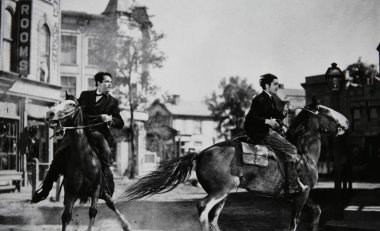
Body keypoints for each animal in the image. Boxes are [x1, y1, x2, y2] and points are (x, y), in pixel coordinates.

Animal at [123, 98, 348, 230]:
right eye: (327, 111)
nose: (346, 122)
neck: (303, 154)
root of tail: (201, 153)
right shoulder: (301, 194)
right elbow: (294, 223)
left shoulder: (302, 194)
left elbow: (317, 210)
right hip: (222, 190)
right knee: (203, 208)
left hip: (223, 194)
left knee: (213, 218)